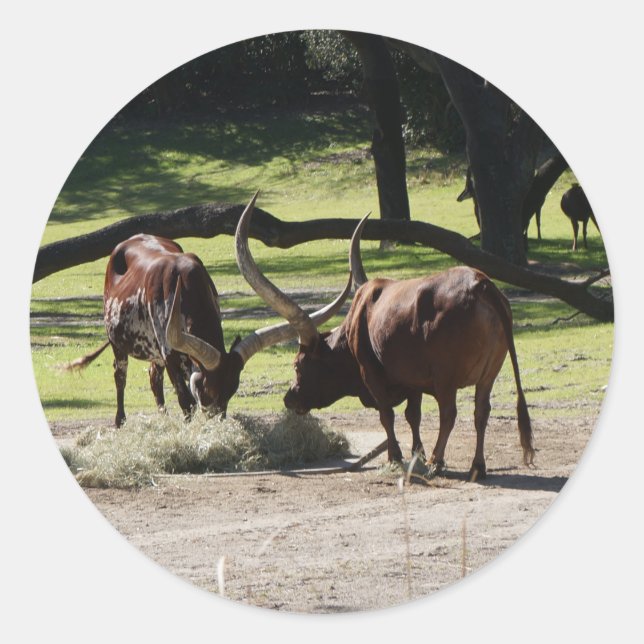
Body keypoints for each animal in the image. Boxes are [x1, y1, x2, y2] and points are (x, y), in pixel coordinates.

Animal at [64, 194, 351, 427]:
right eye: (207, 390)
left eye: (232, 390)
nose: (216, 419)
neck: (185, 287)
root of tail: (129, 240)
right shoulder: (170, 355)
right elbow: (185, 401)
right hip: (118, 343)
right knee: (120, 375)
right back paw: (120, 421)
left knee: (153, 378)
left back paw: (163, 419)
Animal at [236, 206, 535, 480]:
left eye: (297, 365)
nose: (289, 398)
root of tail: (480, 283)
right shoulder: (414, 381)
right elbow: (413, 414)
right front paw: (416, 454)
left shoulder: (372, 374)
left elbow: (386, 415)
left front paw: (396, 457)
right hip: (489, 374)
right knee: (481, 411)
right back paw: (476, 467)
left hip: (446, 378)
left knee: (449, 414)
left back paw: (437, 461)